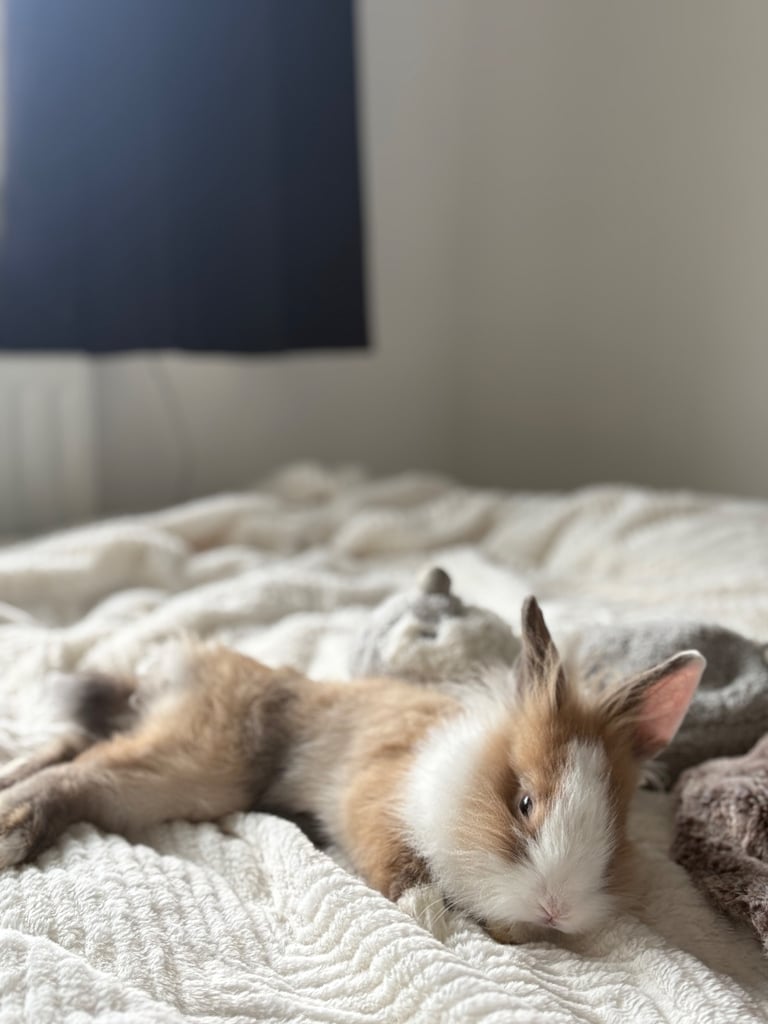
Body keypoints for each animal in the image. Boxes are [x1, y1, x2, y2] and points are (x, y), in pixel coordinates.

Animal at [0, 597, 704, 942]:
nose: (556, 910)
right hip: (203, 766)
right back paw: (13, 829)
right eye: (525, 803)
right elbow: (399, 868)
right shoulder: (373, 797)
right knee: (80, 775)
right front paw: (432, 918)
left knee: (71, 748)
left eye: (616, 830)